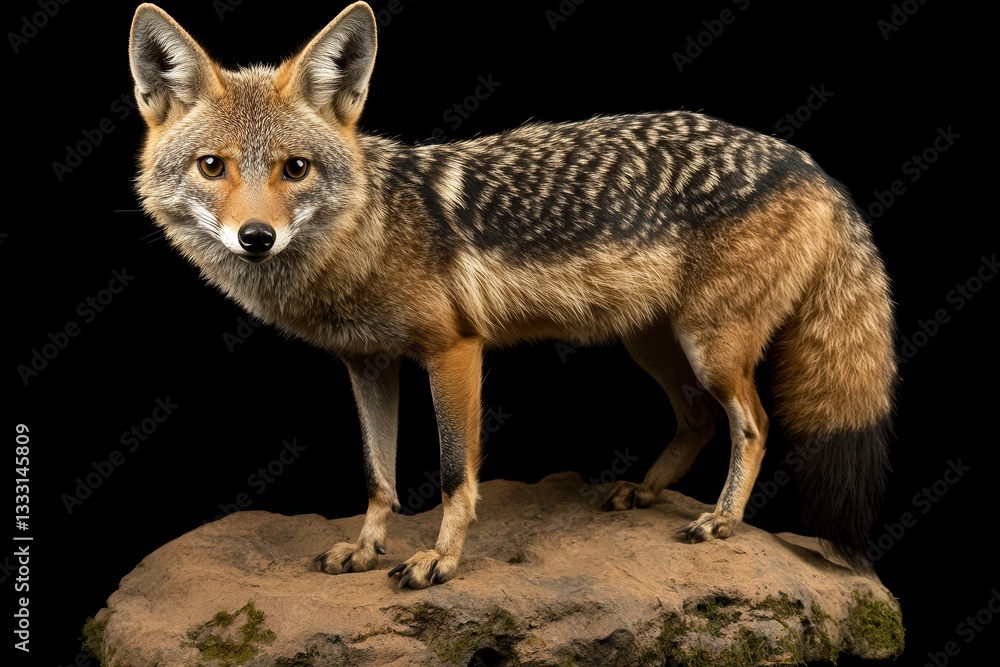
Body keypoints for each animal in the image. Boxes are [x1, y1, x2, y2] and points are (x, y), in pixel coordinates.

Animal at [129, 2, 897, 589]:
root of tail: (809, 164)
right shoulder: (369, 365)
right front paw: (368, 547)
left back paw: (724, 519)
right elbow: (379, 476)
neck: (367, 234)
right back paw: (647, 492)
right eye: (212, 167)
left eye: (295, 169)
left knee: (753, 424)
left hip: (710, 349)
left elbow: (450, 475)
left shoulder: (454, 352)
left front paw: (439, 560)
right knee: (700, 419)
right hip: (654, 344)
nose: (255, 237)